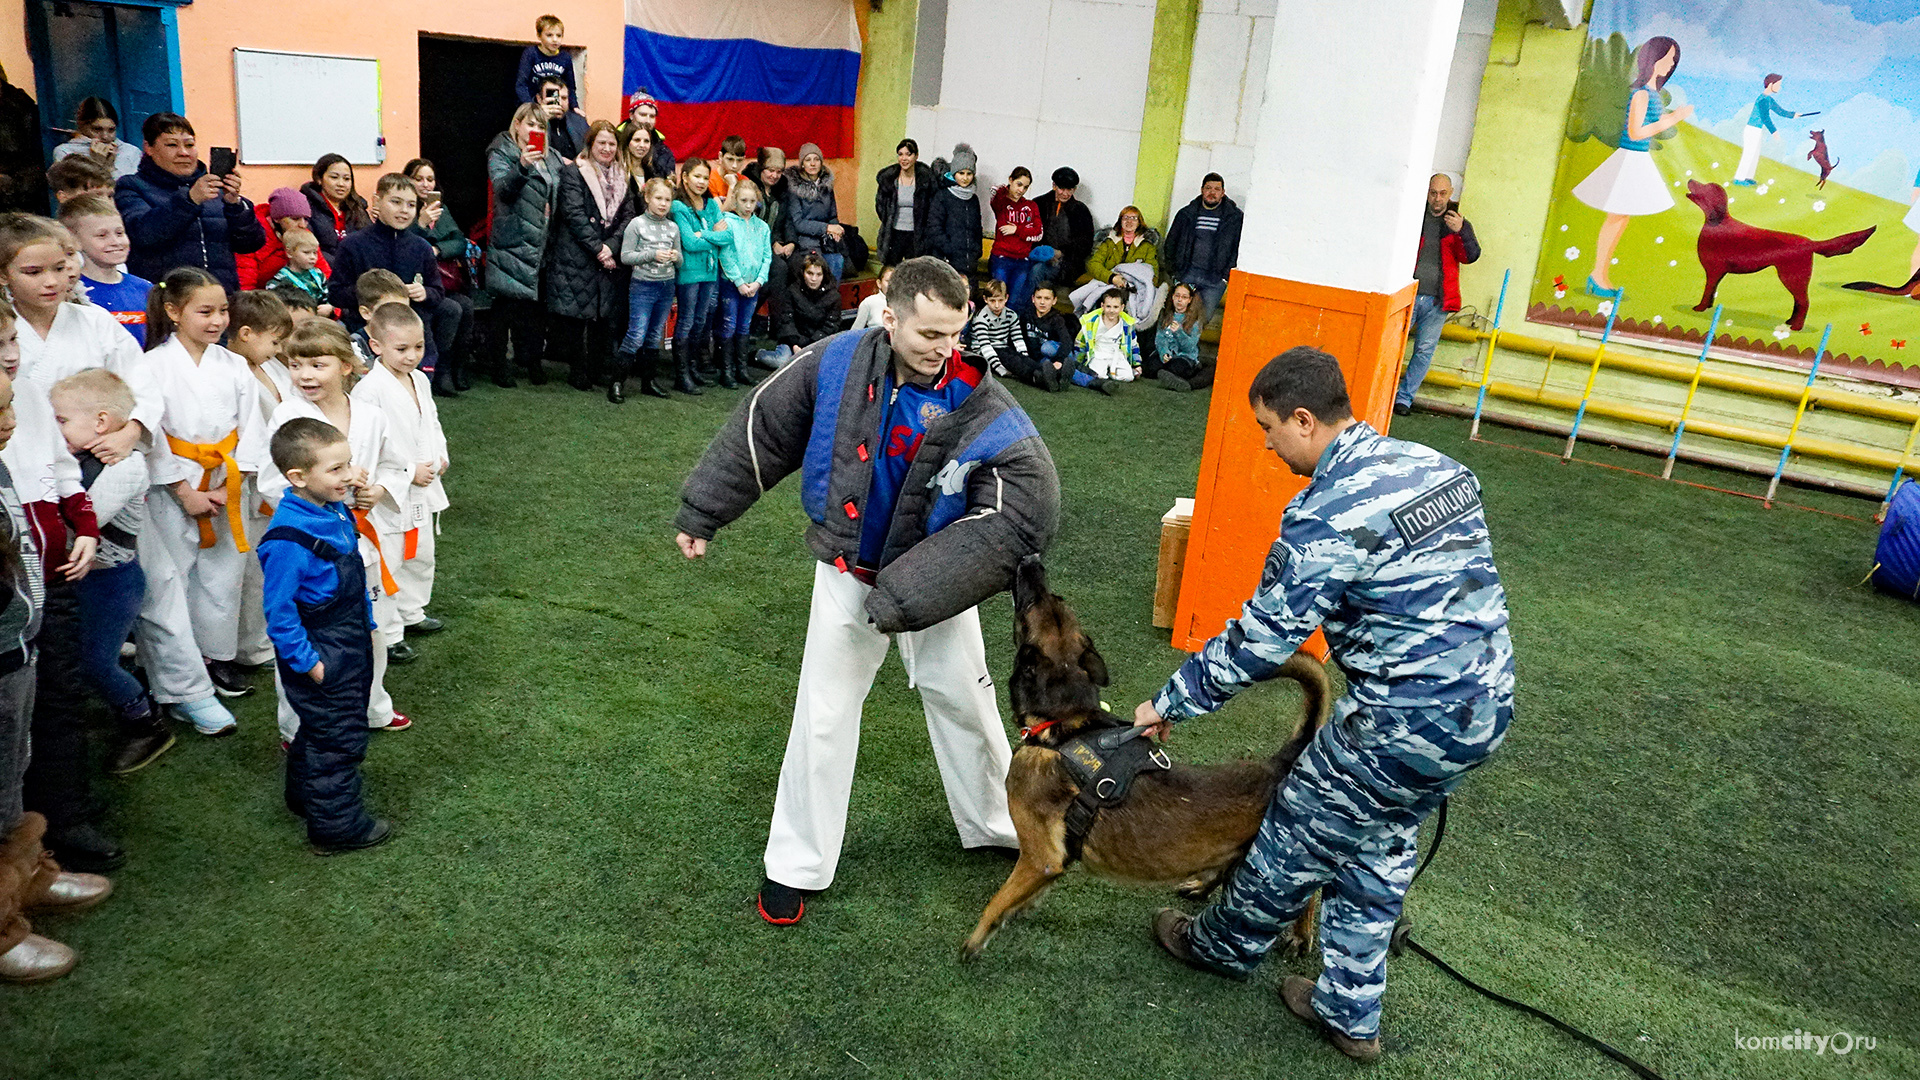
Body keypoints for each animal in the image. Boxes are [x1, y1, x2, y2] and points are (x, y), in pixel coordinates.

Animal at [960, 557, 1336, 953]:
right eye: (1051, 597)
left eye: (1028, 606)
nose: (1030, 559)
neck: (1066, 723)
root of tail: (1277, 764)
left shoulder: (1039, 859)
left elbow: (997, 901)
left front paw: (975, 941)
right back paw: (1201, 887)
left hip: (1274, 862)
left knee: (1301, 894)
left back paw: (1301, 934)